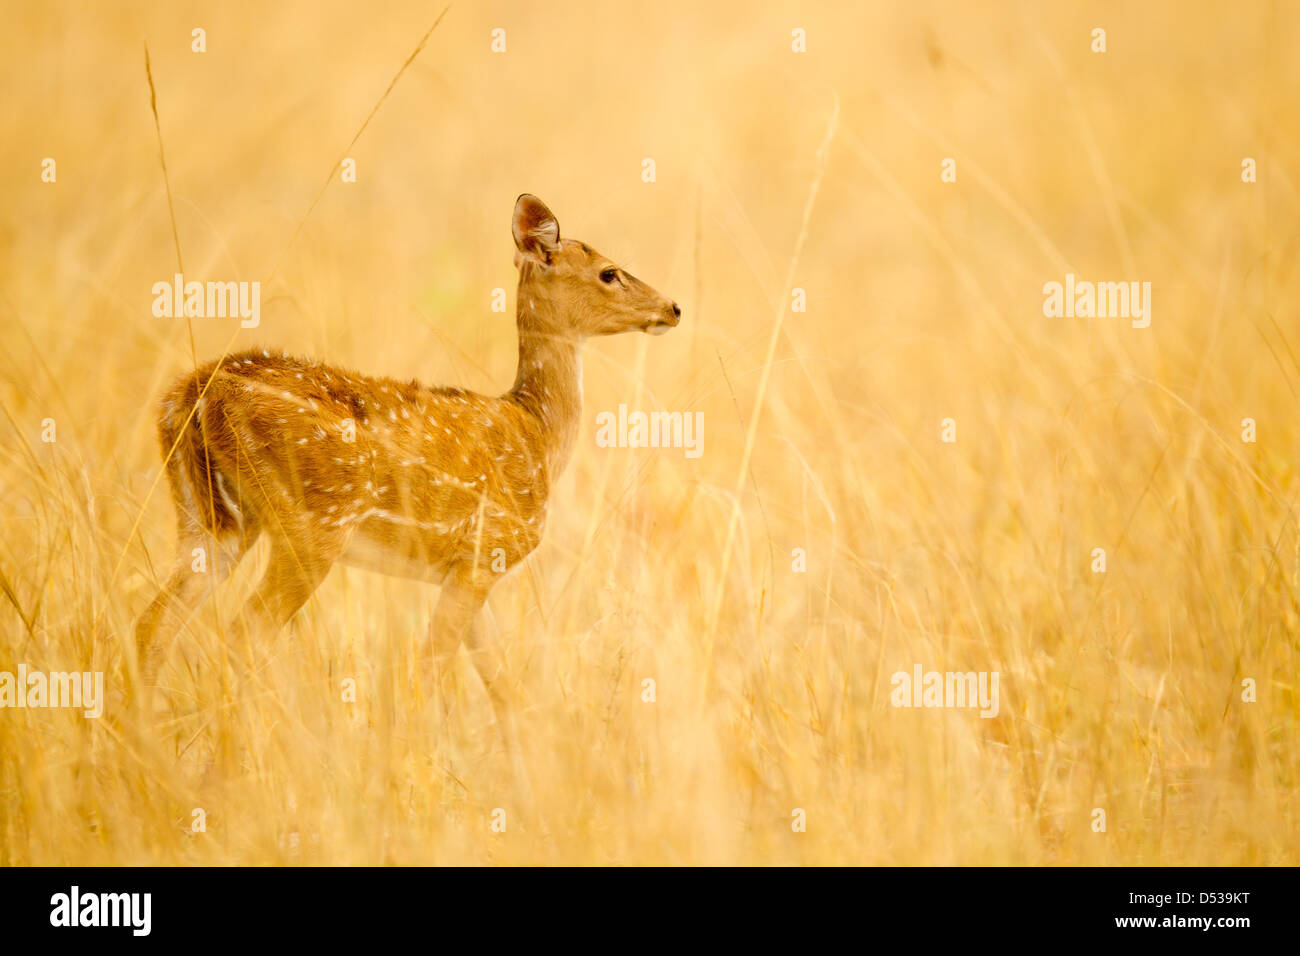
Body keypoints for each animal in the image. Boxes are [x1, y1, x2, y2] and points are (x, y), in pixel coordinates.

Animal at [131, 192, 681, 780]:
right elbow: (430, 673)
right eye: (609, 272)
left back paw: (150, 755)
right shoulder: (485, 551)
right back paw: (233, 769)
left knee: (152, 626)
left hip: (212, 519)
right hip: (313, 525)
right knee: (242, 635)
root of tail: (194, 395)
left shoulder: (467, 568)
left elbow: (501, 685)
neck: (537, 433)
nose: (673, 308)